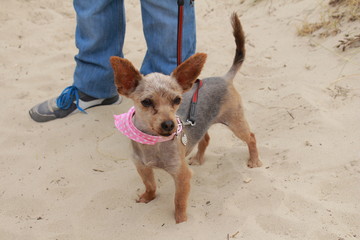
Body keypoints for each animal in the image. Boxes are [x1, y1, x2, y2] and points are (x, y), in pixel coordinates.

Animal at [109, 12, 262, 223]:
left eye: (177, 100)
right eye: (146, 102)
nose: (169, 124)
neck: (152, 143)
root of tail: (225, 77)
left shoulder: (182, 175)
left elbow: (179, 201)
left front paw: (180, 221)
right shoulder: (142, 167)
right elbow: (150, 185)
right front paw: (148, 197)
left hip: (235, 122)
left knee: (251, 137)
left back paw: (254, 160)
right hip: (203, 124)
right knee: (205, 139)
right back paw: (198, 158)